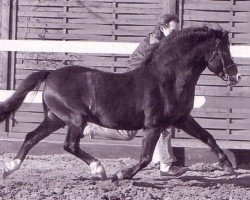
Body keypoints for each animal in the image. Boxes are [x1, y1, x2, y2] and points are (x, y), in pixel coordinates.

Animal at [0, 26, 241, 180]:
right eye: (223, 50)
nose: (236, 76)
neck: (168, 79)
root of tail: (51, 74)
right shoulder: (154, 126)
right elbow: (145, 158)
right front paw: (121, 174)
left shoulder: (182, 119)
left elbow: (207, 136)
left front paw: (228, 166)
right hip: (75, 119)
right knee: (70, 145)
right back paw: (99, 169)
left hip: (55, 119)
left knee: (31, 137)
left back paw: (10, 168)